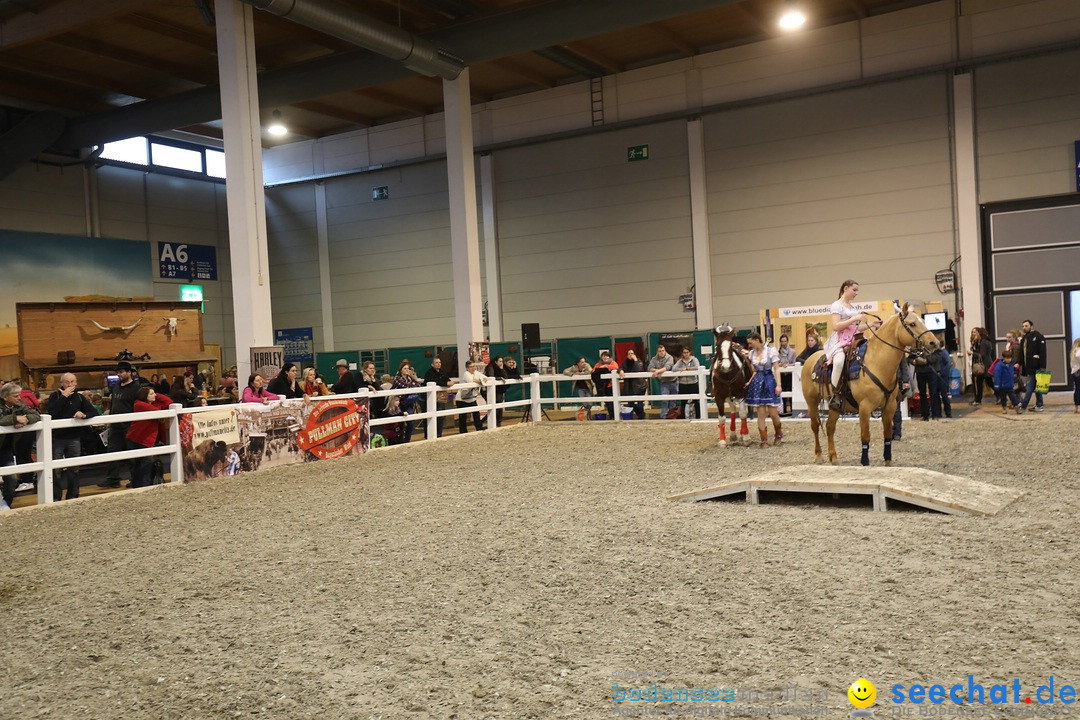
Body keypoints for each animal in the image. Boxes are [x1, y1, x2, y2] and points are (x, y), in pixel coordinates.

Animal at [803, 304, 937, 468]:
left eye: (922, 321)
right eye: (912, 324)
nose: (934, 343)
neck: (875, 362)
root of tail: (811, 359)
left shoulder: (890, 406)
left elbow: (887, 435)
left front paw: (888, 461)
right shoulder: (865, 407)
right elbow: (865, 436)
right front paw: (865, 461)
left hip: (835, 405)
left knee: (829, 427)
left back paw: (833, 457)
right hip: (812, 402)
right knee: (815, 426)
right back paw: (819, 455)